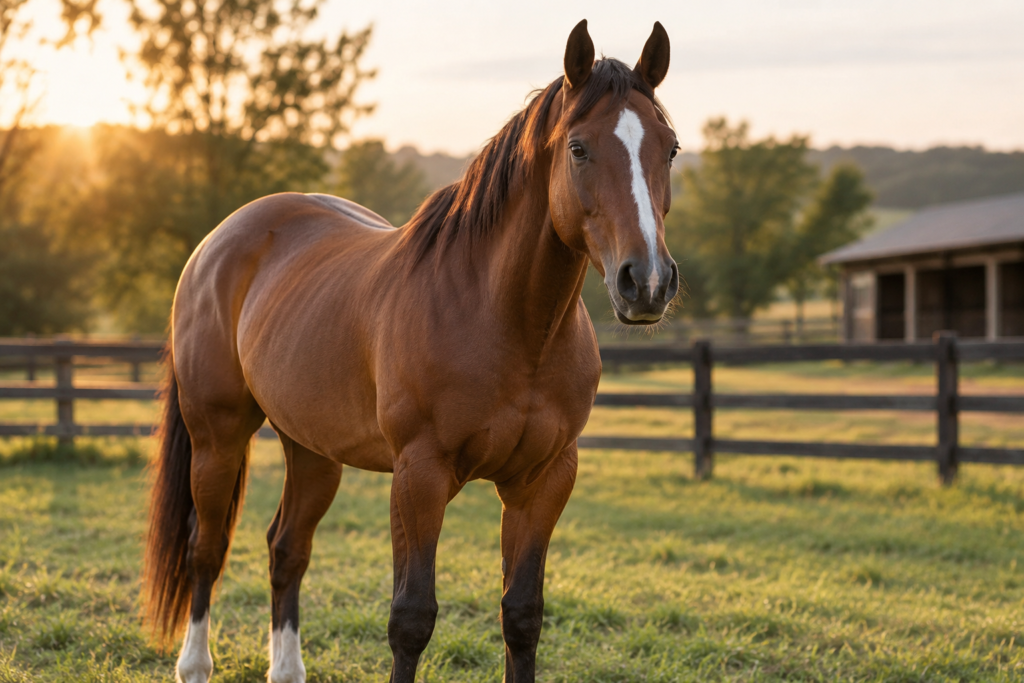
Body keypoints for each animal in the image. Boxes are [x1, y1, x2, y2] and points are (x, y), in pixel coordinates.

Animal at [143, 19, 679, 683]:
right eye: (579, 148)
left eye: (670, 149)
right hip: (217, 437)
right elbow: (412, 618)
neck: (508, 324)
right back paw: (194, 664)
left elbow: (522, 615)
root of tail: (217, 242)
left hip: (313, 449)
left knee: (287, 548)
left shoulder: (545, 480)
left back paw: (287, 668)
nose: (647, 282)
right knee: (207, 548)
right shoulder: (419, 476)